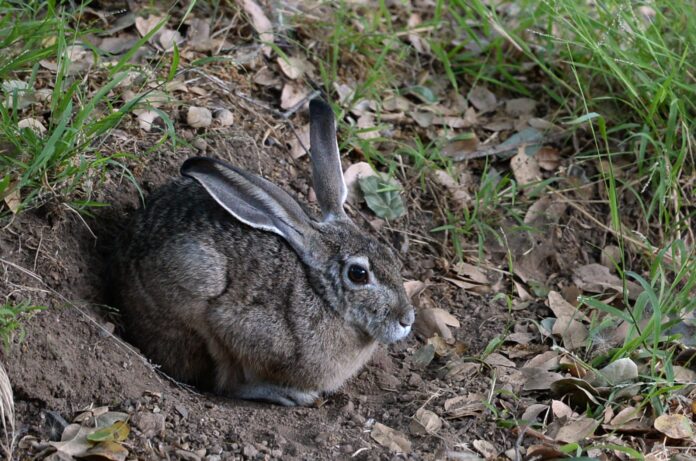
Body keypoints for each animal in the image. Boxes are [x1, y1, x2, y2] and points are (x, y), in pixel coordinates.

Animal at [111, 98, 415, 406]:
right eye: (358, 274)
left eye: (389, 255)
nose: (407, 320)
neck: (322, 296)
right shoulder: (232, 329)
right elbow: (230, 383)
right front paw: (288, 394)